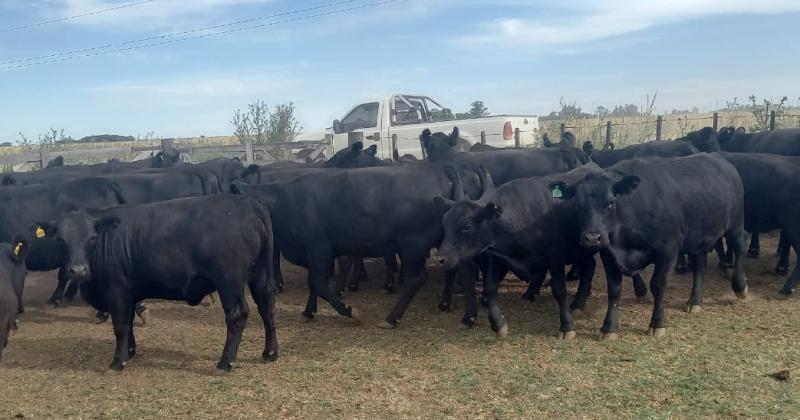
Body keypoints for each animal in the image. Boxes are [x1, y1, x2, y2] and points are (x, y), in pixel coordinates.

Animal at [41, 195, 278, 372]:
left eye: (91, 238)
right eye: (60, 240)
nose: (78, 270)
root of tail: (247, 202)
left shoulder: (117, 292)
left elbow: (120, 326)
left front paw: (118, 361)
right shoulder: (130, 294)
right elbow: (128, 322)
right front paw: (130, 351)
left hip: (229, 282)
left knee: (237, 314)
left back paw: (226, 362)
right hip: (259, 275)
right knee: (266, 307)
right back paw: (270, 352)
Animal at [552, 154, 752, 338]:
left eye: (610, 202)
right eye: (577, 205)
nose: (592, 238)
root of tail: (722, 161)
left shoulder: (668, 250)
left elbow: (658, 285)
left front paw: (657, 323)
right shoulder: (608, 254)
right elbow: (614, 290)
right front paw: (609, 327)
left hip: (735, 225)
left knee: (741, 247)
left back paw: (740, 286)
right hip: (698, 237)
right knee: (699, 267)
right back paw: (694, 301)